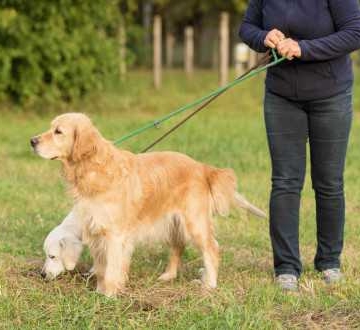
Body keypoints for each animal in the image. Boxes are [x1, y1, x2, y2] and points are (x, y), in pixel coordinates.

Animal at [31, 113, 266, 296]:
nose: (32, 141)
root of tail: (201, 167)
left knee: (211, 249)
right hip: (173, 222)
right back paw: (168, 276)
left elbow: (111, 267)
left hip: (194, 223)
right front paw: (100, 290)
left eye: (58, 131)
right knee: (178, 248)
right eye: (50, 127)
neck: (93, 169)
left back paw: (209, 283)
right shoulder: (96, 229)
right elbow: (102, 267)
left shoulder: (114, 234)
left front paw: (108, 295)